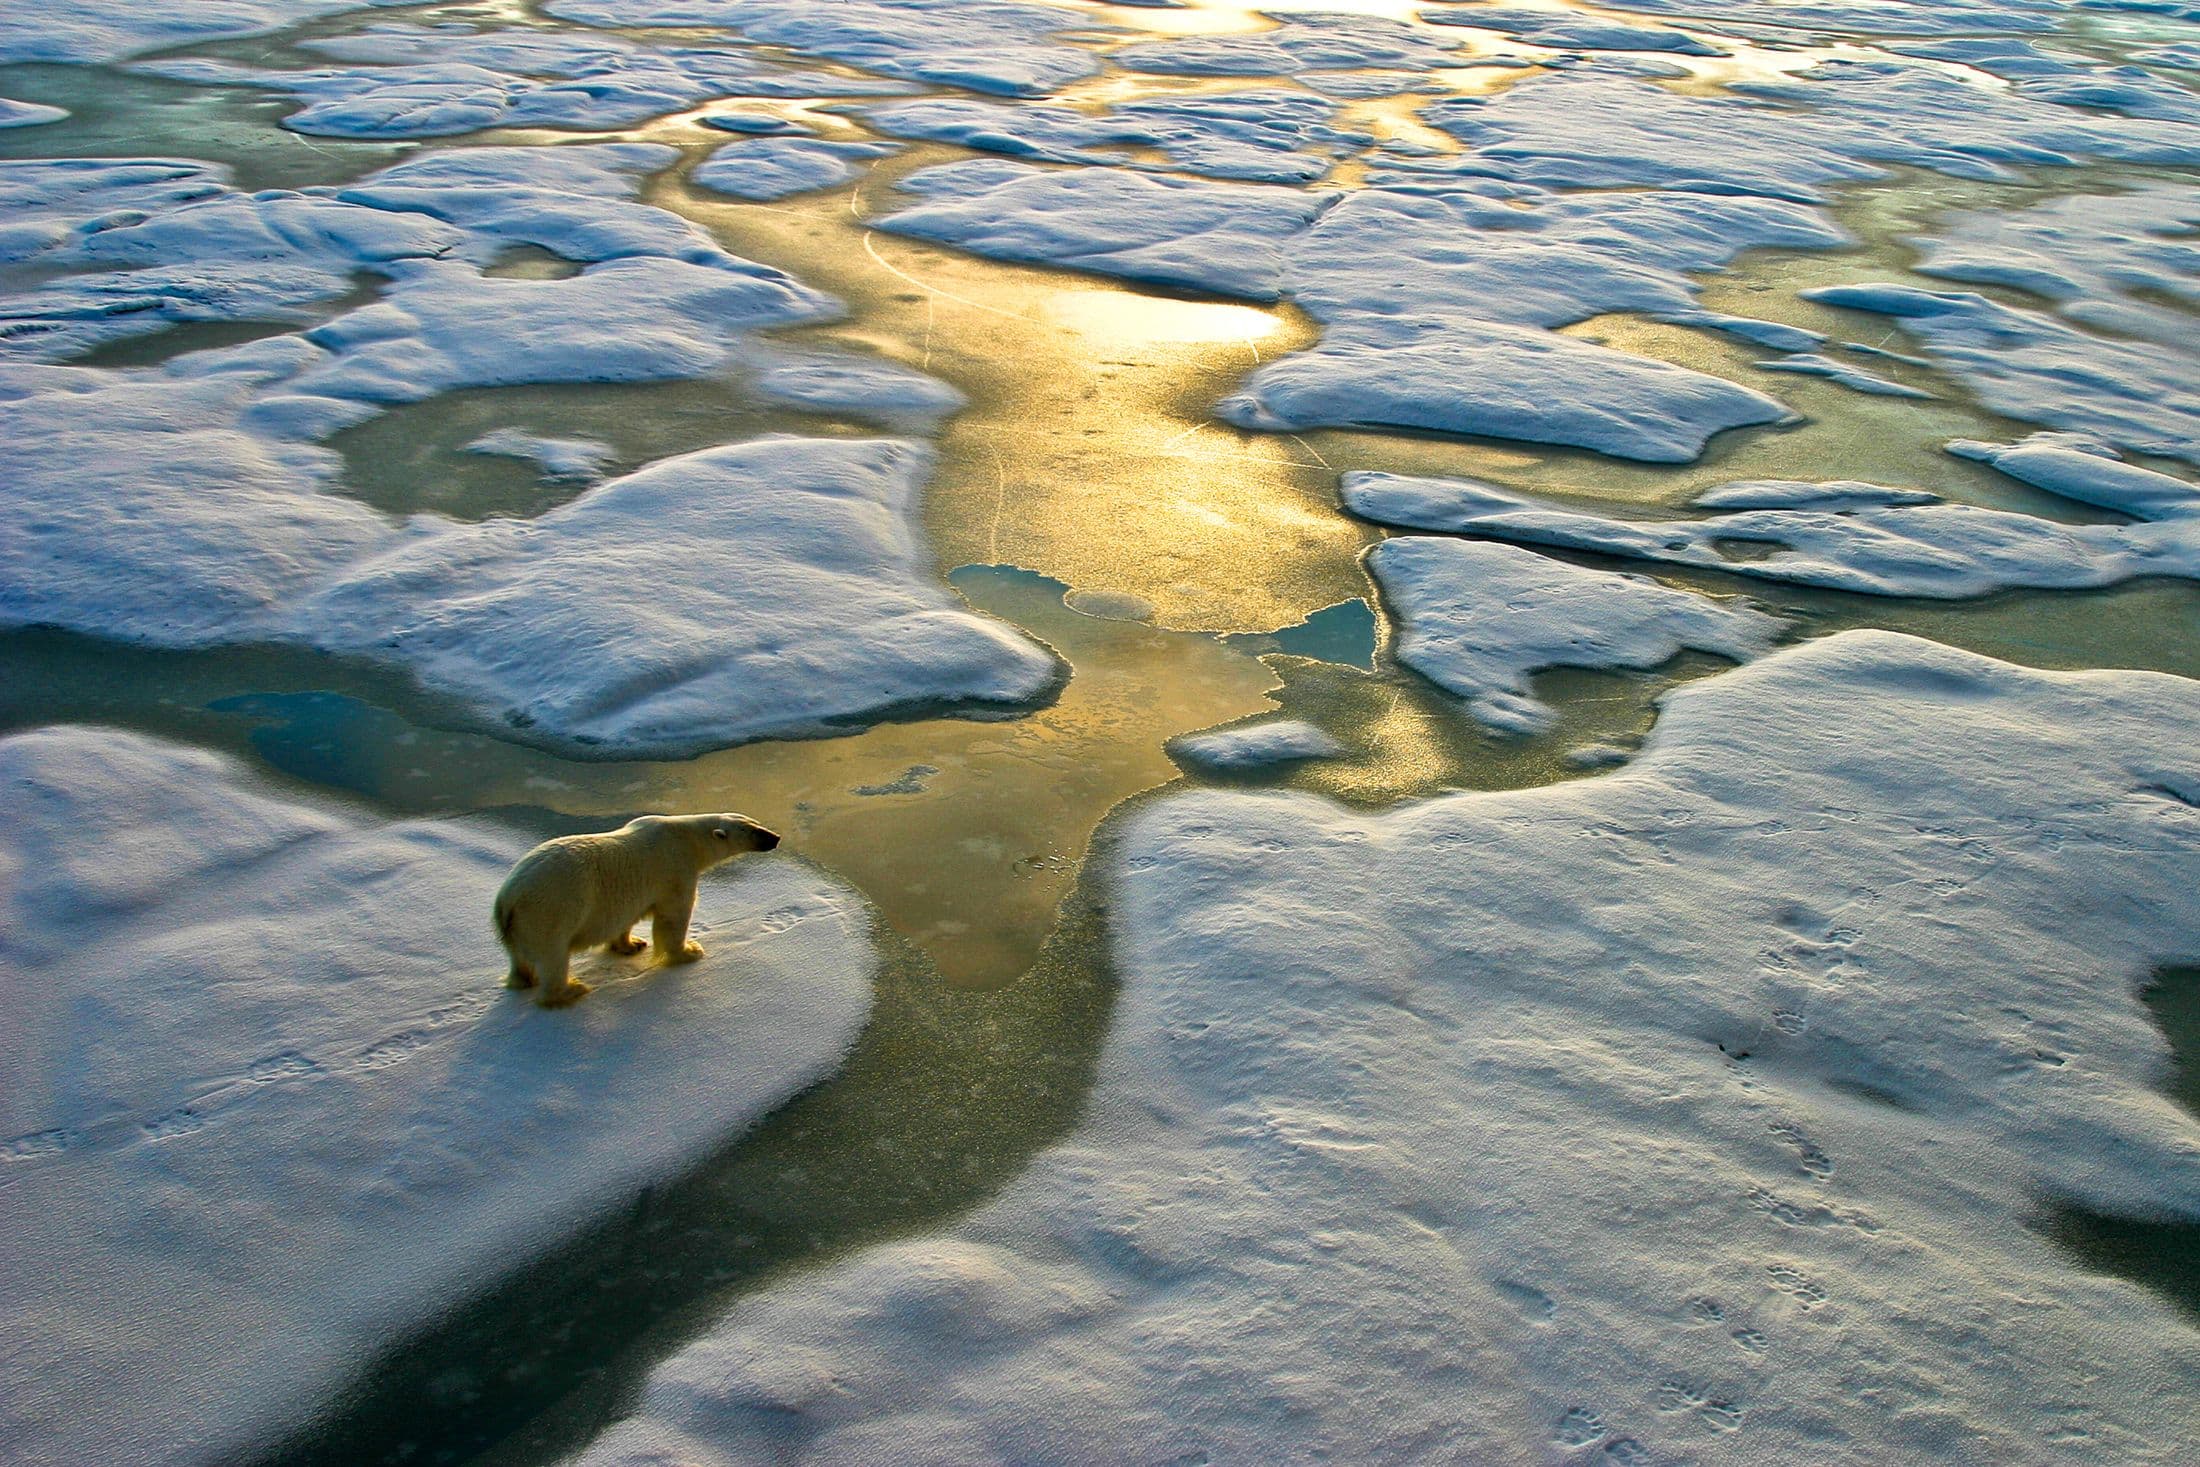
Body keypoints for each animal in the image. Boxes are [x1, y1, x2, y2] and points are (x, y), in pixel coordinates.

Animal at [495, 813, 778, 1011]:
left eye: (756, 822)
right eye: (752, 830)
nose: (775, 837)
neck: (685, 837)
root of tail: (507, 899)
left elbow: (626, 918)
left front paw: (632, 945)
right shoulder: (675, 869)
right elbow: (673, 916)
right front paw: (689, 951)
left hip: (518, 926)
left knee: (519, 958)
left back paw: (524, 980)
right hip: (549, 910)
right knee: (553, 956)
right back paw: (570, 990)